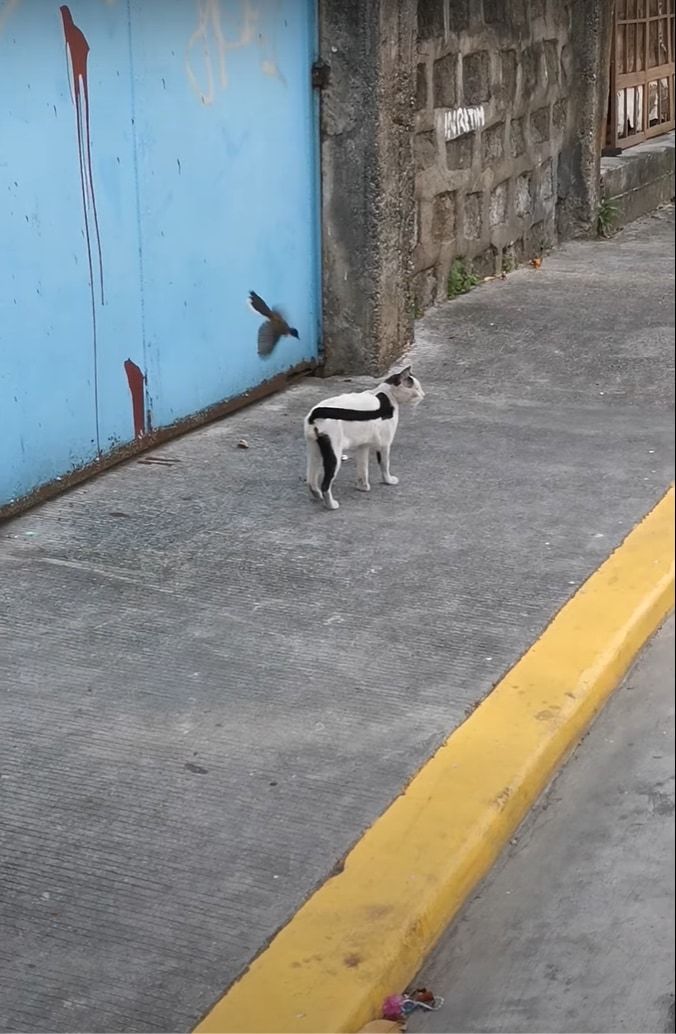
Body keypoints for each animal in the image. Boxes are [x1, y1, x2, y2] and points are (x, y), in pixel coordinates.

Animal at [305, 366, 425, 510]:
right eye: (416, 388)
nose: (423, 395)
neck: (387, 395)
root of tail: (315, 413)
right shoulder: (384, 444)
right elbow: (385, 465)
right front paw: (388, 480)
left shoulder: (363, 446)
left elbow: (363, 467)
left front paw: (363, 487)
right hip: (334, 455)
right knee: (325, 485)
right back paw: (331, 504)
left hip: (315, 452)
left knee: (311, 479)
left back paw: (317, 495)